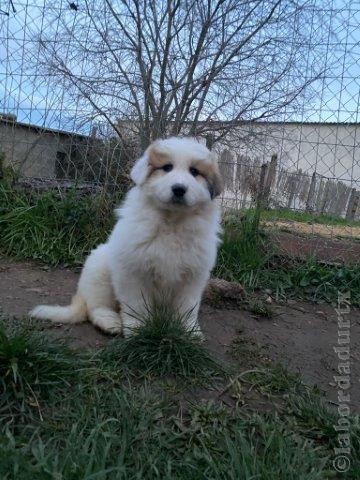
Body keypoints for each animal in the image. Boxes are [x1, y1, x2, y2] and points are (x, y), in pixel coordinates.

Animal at [31, 137, 222, 336]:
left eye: (194, 172)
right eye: (167, 167)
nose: (179, 189)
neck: (171, 223)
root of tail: (81, 297)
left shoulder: (193, 277)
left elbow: (187, 307)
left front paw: (190, 332)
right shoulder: (132, 272)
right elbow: (136, 305)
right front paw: (138, 329)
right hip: (99, 272)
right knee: (95, 308)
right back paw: (109, 322)